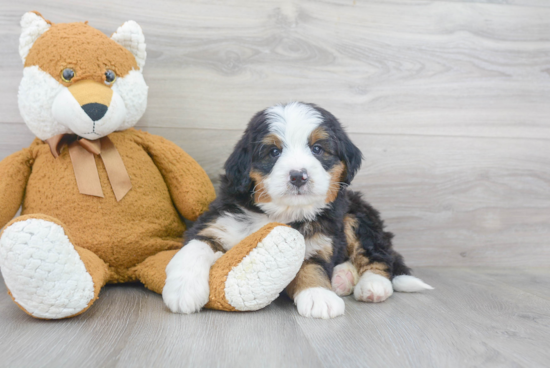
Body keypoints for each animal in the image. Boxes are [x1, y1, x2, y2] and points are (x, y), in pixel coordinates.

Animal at [164, 101, 436, 320]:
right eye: (274, 152)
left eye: (317, 149)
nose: (298, 176)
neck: (280, 213)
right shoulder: (219, 223)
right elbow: (195, 247)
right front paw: (183, 289)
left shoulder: (318, 241)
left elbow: (312, 267)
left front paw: (319, 296)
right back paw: (343, 278)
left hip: (357, 217)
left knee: (378, 255)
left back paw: (372, 286)